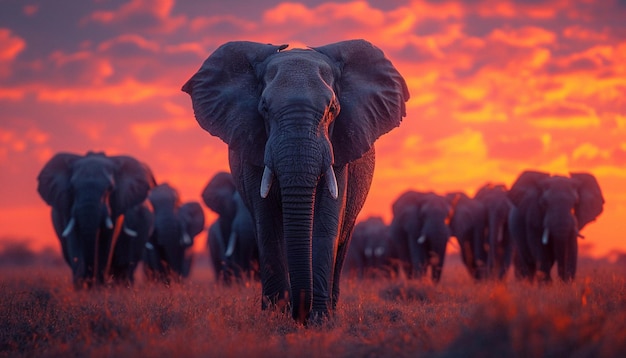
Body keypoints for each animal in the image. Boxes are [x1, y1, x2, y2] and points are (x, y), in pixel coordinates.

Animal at [36, 151, 156, 288]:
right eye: (72, 188)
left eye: (110, 188)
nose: (89, 280)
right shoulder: (66, 206)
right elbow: (74, 240)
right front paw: (83, 286)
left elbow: (107, 240)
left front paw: (98, 286)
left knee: (127, 264)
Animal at [180, 40, 410, 324]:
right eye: (264, 108)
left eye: (332, 109)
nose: (300, 314)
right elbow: (268, 223)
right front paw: (275, 317)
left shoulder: (339, 148)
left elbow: (326, 221)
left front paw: (319, 320)